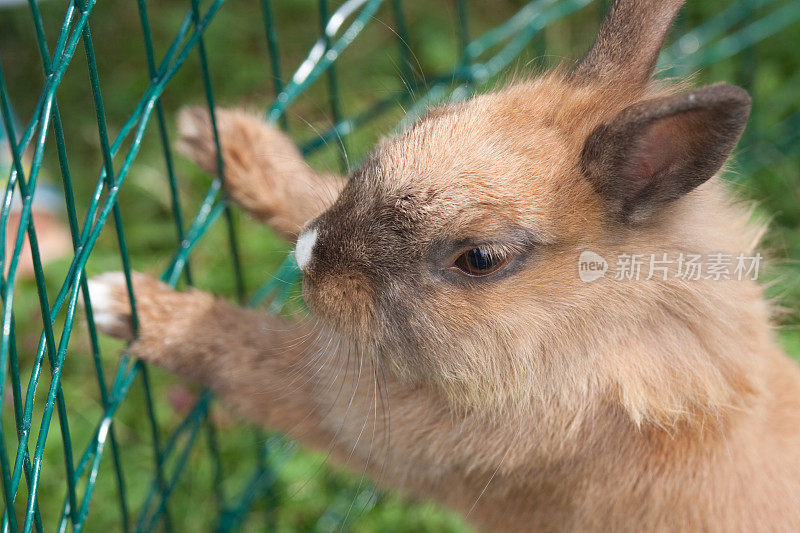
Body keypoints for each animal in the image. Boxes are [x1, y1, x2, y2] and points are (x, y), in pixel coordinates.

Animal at [86, 2, 800, 528]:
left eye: (479, 258)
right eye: (433, 116)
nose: (309, 256)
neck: (604, 332)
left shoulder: (358, 414)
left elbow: (248, 355)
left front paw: (127, 304)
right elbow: (309, 191)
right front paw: (219, 138)